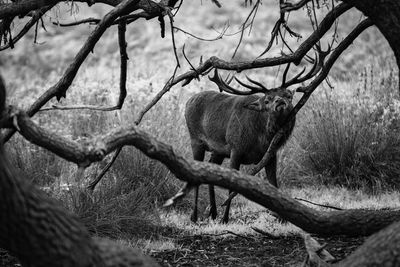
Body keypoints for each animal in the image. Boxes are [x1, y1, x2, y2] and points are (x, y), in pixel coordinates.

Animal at [183, 60, 318, 224]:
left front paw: (282, 218)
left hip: (218, 151)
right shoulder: (236, 149)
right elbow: (233, 187)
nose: (279, 101)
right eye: (267, 100)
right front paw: (225, 219)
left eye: (288, 96)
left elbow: (274, 184)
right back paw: (195, 216)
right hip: (195, 139)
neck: (260, 139)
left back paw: (213, 213)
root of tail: (188, 101)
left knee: (211, 168)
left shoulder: (271, 154)